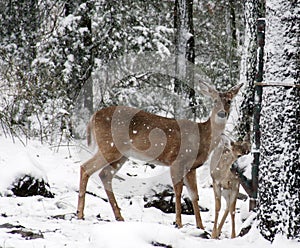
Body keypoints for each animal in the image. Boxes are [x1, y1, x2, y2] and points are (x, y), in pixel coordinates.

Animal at [76, 82, 243, 231]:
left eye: (229, 101)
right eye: (214, 101)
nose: (222, 113)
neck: (203, 137)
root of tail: (93, 116)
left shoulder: (191, 167)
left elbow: (194, 195)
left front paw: (200, 226)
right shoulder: (177, 161)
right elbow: (178, 192)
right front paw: (179, 223)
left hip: (121, 155)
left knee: (104, 174)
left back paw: (119, 216)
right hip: (109, 147)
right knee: (85, 167)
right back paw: (80, 214)